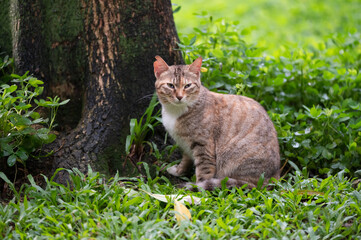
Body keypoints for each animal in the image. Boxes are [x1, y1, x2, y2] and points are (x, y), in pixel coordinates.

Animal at [153, 56, 280, 191]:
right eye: (170, 85)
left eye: (187, 85)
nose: (179, 96)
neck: (175, 111)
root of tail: (273, 178)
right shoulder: (185, 144)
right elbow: (186, 160)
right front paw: (179, 170)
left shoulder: (204, 146)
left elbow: (204, 172)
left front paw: (198, 189)